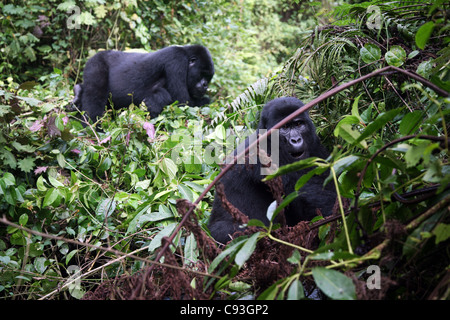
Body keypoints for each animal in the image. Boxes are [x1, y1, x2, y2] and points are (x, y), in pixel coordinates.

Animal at [72, 45, 216, 123]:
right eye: (203, 74)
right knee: (95, 96)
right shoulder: (177, 60)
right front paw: (206, 100)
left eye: (208, 77)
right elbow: (183, 104)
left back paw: (78, 93)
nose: (205, 85)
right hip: (95, 63)